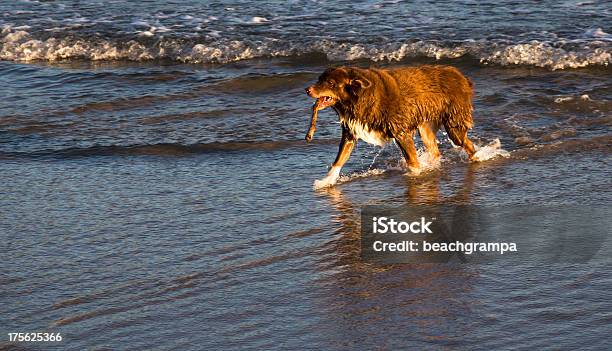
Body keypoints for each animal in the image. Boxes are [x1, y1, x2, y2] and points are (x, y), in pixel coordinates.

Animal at [306, 64, 478, 188]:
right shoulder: (350, 132)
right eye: (319, 79)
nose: (307, 90)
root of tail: (461, 76)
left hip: (454, 122)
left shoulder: (400, 131)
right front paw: (326, 181)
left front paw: (415, 173)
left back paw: (478, 156)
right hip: (425, 127)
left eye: (330, 83)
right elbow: (339, 159)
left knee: (465, 143)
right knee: (435, 149)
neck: (357, 98)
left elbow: (412, 160)